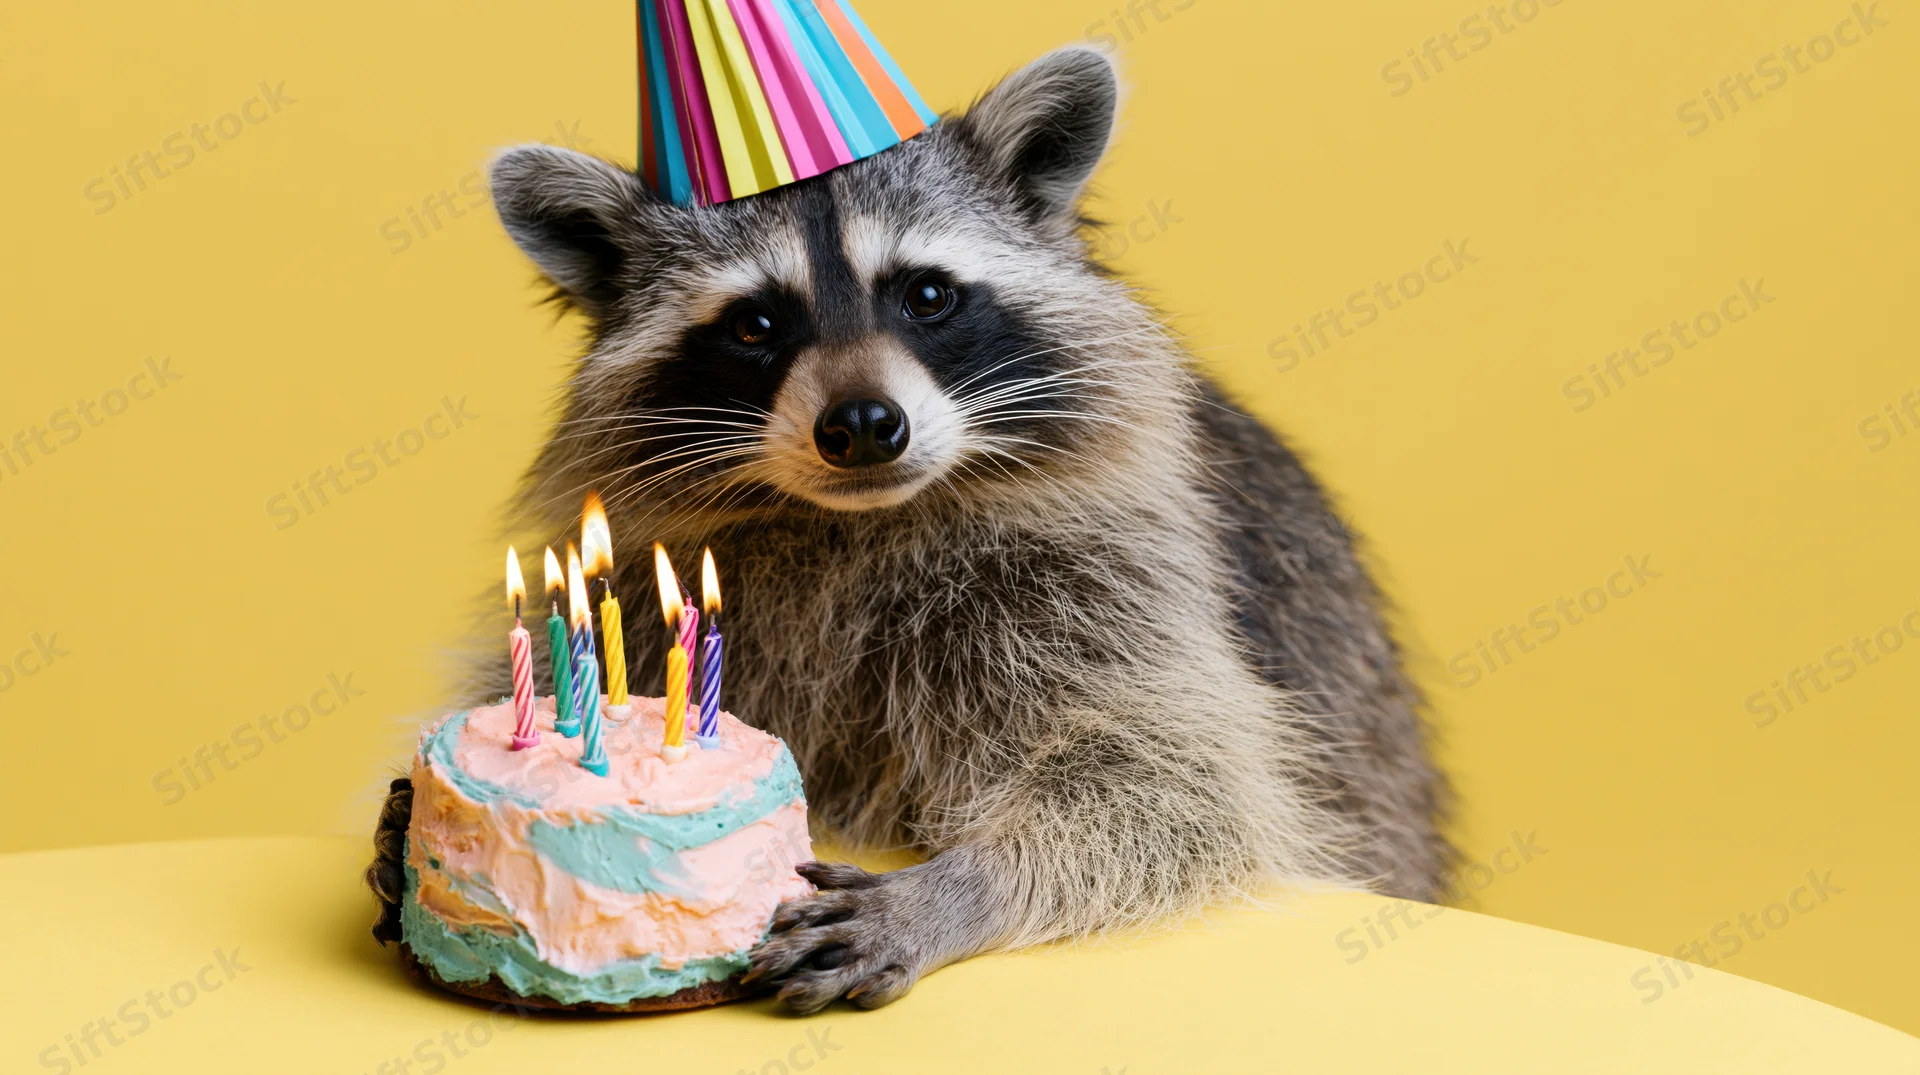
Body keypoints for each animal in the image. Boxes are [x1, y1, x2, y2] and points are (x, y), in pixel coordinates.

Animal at [366, 45, 1448, 1013]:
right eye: (756, 325)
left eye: (926, 294)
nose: (861, 425)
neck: (858, 517)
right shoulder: (644, 568)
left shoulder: (1115, 576)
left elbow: (1180, 779)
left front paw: (966, 882)